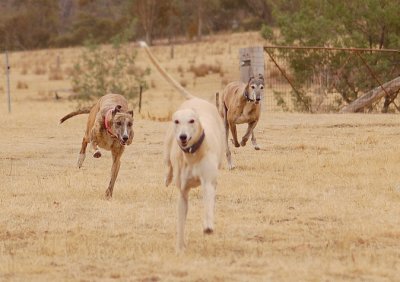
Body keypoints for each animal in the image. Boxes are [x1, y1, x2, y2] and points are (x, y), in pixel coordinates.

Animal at [163, 97, 225, 251]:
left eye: (191, 121)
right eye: (177, 121)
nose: (183, 136)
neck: (193, 154)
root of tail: (195, 98)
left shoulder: (208, 181)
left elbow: (208, 200)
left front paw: (208, 226)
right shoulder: (183, 191)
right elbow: (181, 220)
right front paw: (180, 247)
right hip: (167, 148)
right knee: (168, 164)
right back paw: (167, 178)